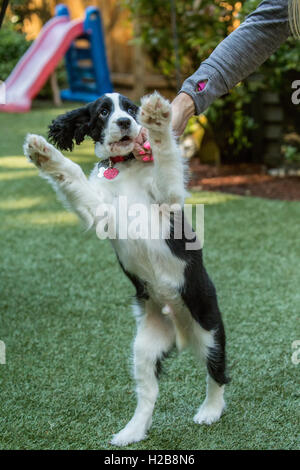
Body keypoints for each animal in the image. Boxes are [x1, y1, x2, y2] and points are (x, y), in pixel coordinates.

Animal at [23, 91, 230, 444]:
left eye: (131, 109)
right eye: (103, 112)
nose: (124, 122)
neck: (125, 168)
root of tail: (180, 327)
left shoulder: (168, 198)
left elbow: (166, 157)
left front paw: (158, 118)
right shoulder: (99, 212)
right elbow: (72, 174)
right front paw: (42, 152)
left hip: (208, 324)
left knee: (216, 372)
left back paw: (210, 411)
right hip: (145, 346)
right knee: (148, 394)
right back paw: (131, 432)